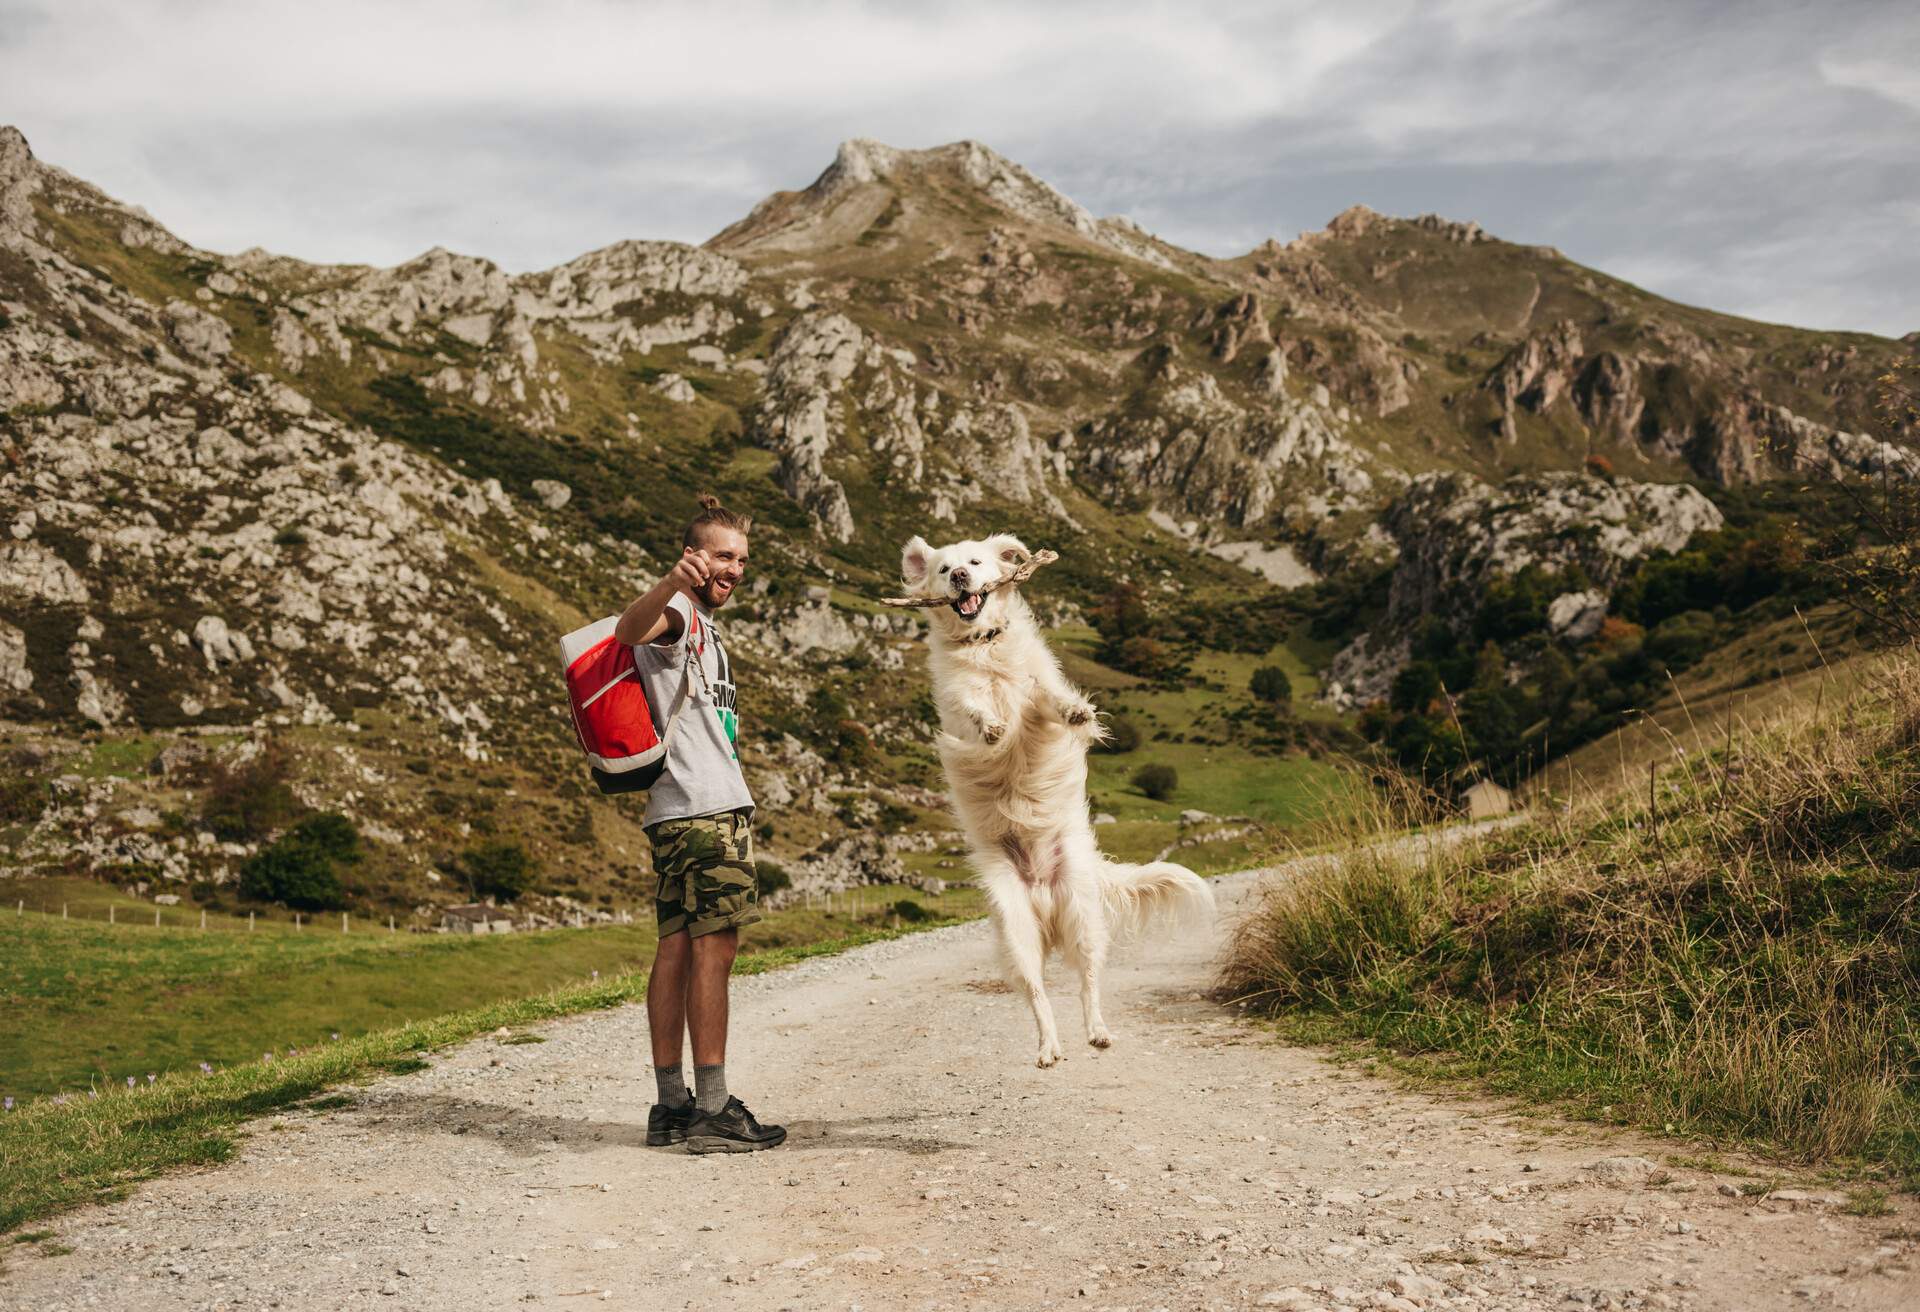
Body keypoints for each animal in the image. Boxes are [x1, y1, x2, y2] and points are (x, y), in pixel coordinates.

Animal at [902, 534, 1213, 1068]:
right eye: (944, 569)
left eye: (975, 562)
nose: (960, 577)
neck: (985, 646)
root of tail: (1042, 894)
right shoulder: (957, 708)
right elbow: (972, 707)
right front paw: (991, 724)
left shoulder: (1034, 694)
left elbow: (1047, 698)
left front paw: (1074, 711)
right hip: (1016, 932)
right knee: (1038, 994)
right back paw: (1048, 1047)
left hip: (1083, 919)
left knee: (1088, 983)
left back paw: (1097, 1031)